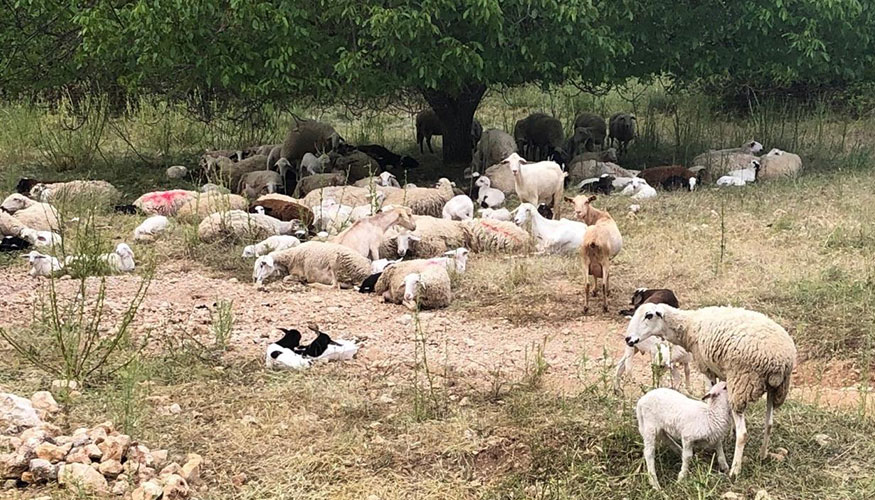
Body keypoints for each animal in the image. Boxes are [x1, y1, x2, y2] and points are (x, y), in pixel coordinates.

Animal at [624, 302, 800, 478]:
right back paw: (762, 455)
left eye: (648, 315)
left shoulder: (708, 370)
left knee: (743, 434)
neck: (690, 325)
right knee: (769, 423)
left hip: (741, 383)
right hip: (775, 390)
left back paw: (735, 470)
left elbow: (711, 399)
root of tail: (780, 360)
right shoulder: (724, 375)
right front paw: (728, 431)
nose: (628, 339)